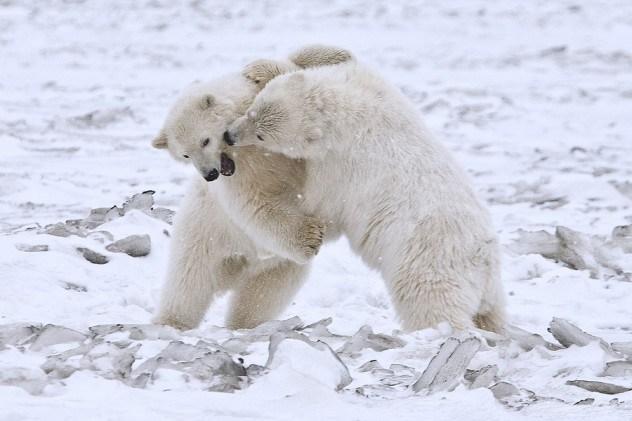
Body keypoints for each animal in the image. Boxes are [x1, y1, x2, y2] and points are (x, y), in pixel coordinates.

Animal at [151, 45, 354, 328]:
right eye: (185, 155)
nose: (210, 174)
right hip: (201, 238)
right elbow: (254, 204)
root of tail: (236, 267)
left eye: (204, 141)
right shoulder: (239, 178)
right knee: (187, 285)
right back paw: (171, 322)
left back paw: (245, 324)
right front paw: (310, 236)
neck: (243, 152)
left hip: (276, 266)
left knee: (260, 297)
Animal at [225, 61, 506, 332]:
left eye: (261, 135)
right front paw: (261, 69)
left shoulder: (341, 165)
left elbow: (320, 203)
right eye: (251, 111)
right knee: (491, 314)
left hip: (427, 259)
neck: (349, 111)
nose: (229, 135)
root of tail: (484, 258)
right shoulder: (376, 86)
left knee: (429, 301)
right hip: (488, 289)